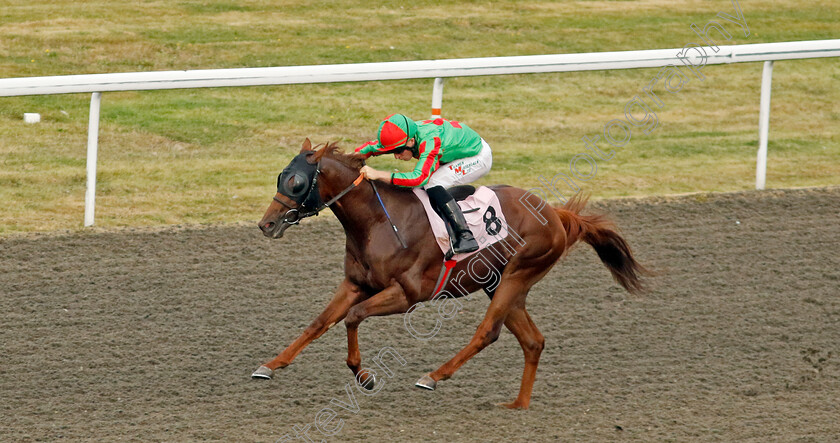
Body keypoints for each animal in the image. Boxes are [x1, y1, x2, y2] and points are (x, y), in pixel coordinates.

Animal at [253, 139, 648, 410]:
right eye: (280, 177)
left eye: (297, 183)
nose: (266, 224)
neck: (379, 221)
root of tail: (556, 214)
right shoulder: (355, 284)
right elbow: (319, 323)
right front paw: (270, 366)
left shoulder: (408, 295)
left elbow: (353, 317)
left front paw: (364, 376)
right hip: (499, 283)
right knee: (533, 340)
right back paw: (518, 405)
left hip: (518, 274)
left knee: (488, 332)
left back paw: (434, 376)